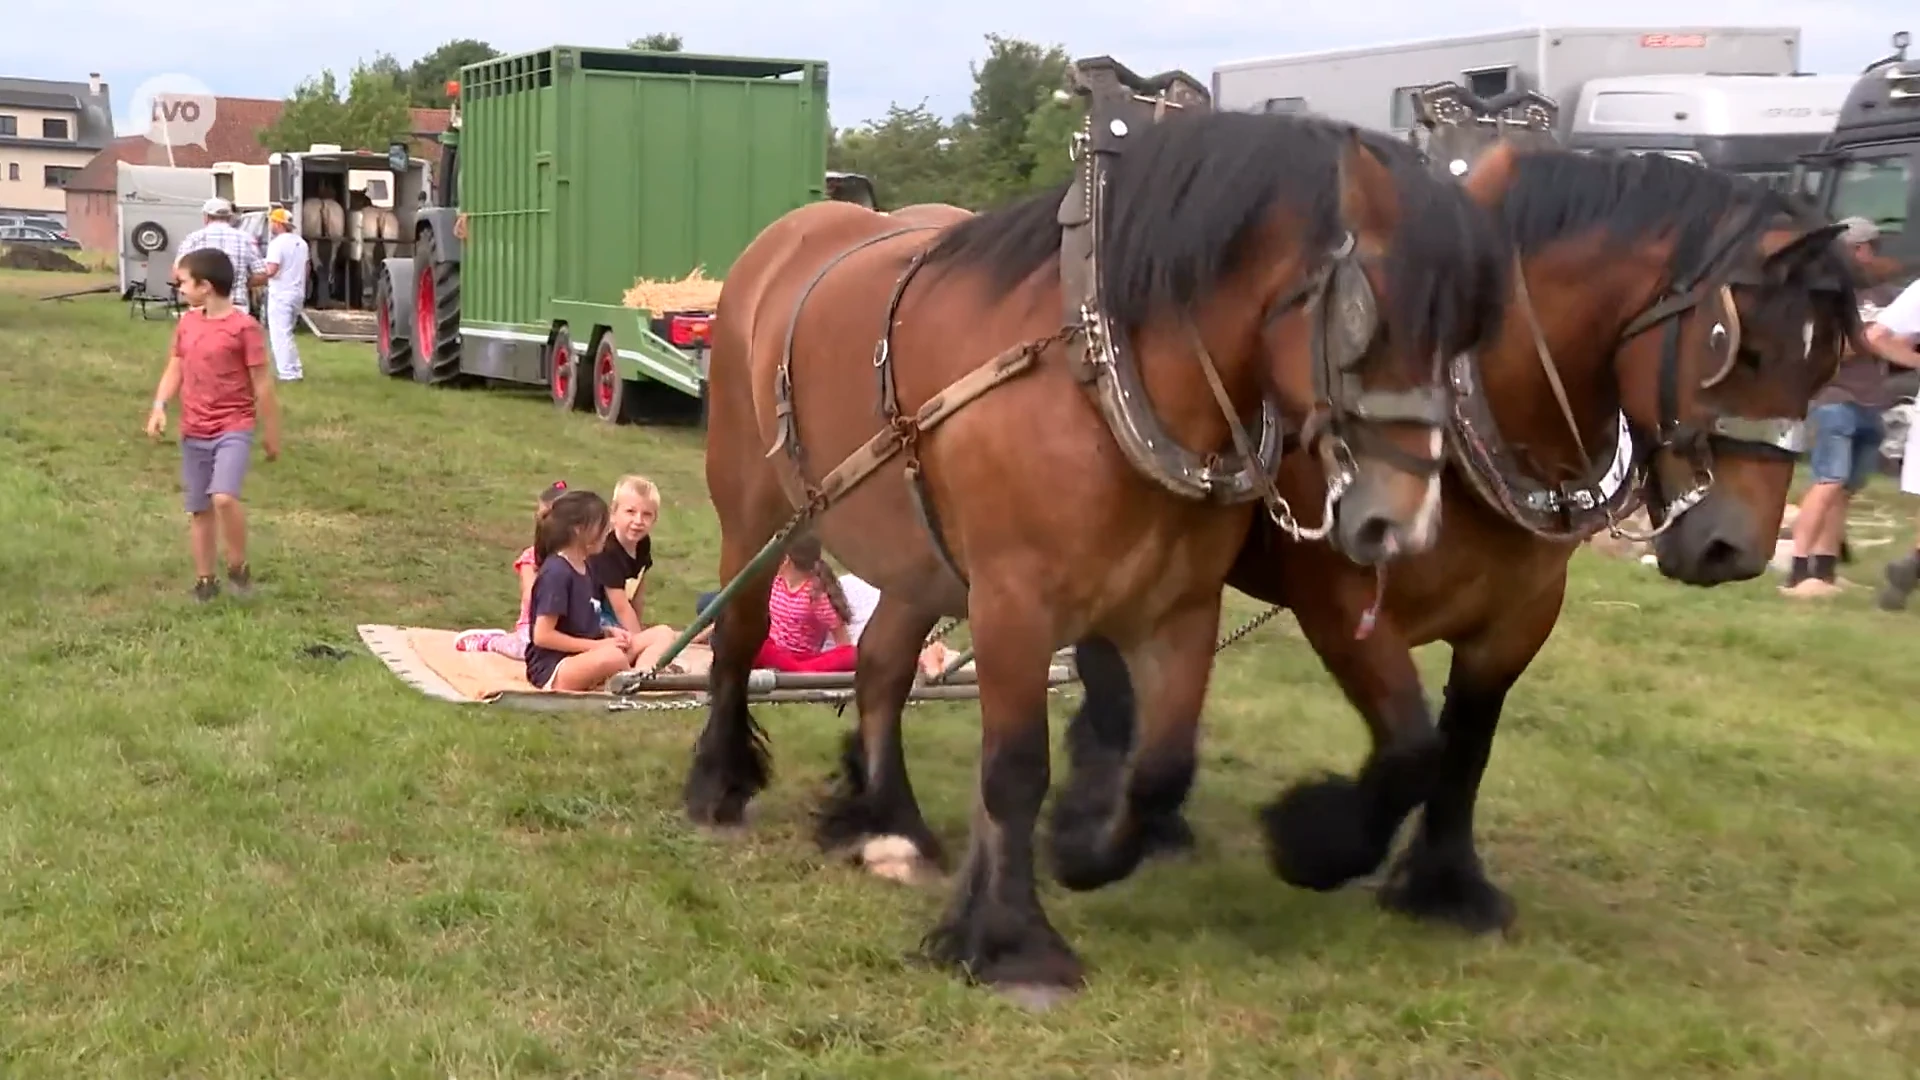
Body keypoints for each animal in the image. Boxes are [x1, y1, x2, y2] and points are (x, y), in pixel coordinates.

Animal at [691, 109, 1512, 991]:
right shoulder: (1013, 603)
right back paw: (719, 786)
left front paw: (1082, 849)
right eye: (1369, 322)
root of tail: (788, 234)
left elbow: (1161, 769)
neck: (1103, 382)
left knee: (880, 666)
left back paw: (889, 825)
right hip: (754, 511)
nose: (1403, 525)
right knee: (739, 637)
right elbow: (1017, 768)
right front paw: (1013, 938)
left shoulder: (1178, 608)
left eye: (1467, 337)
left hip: (917, 557)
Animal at [1052, 143, 1858, 933]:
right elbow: (1413, 747)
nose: (1737, 550)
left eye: (1828, 364)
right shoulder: (1341, 599)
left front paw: (1445, 884)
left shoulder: (1520, 613)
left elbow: (1468, 742)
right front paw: (1311, 841)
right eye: (1736, 347)